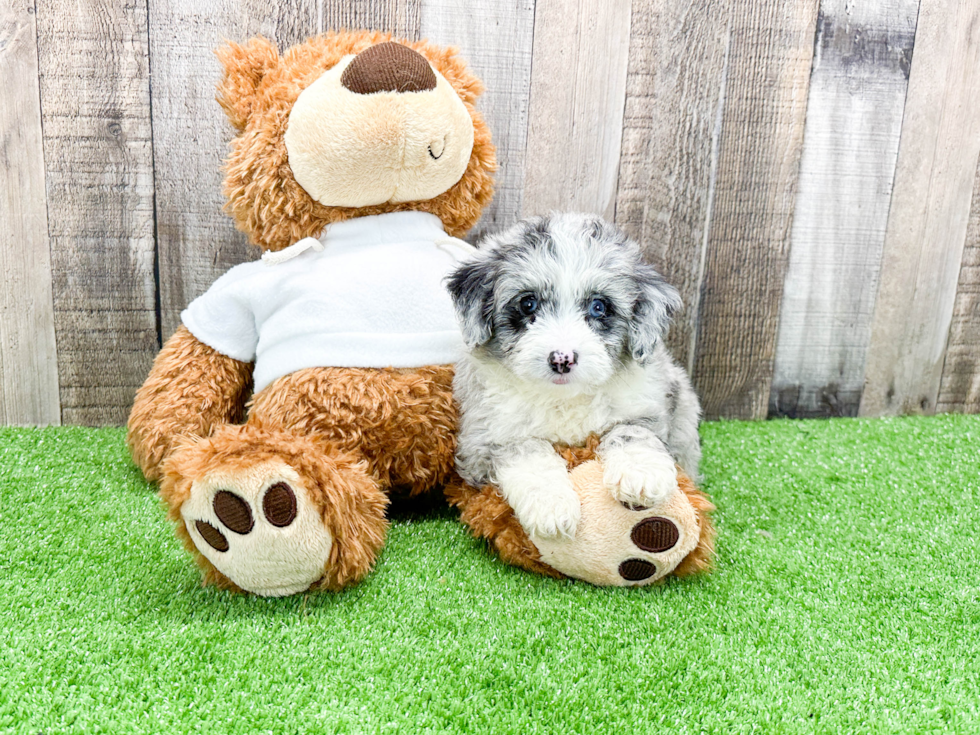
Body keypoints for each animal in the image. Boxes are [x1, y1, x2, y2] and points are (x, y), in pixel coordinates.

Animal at [448, 213, 700, 540]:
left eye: (599, 307)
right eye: (528, 303)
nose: (562, 359)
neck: (564, 398)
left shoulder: (647, 405)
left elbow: (631, 432)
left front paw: (641, 473)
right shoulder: (485, 439)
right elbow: (528, 452)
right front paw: (550, 506)